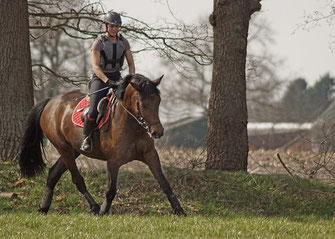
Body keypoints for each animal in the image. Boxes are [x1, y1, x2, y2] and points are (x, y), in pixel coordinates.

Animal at [18, 74, 186, 216]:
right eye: (143, 105)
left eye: (158, 102)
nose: (158, 132)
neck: (132, 125)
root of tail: (51, 102)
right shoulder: (113, 161)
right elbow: (111, 189)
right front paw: (104, 211)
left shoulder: (151, 155)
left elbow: (164, 183)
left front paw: (179, 210)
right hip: (63, 147)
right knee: (77, 179)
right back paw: (94, 207)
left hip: (73, 150)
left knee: (53, 174)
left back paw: (43, 207)